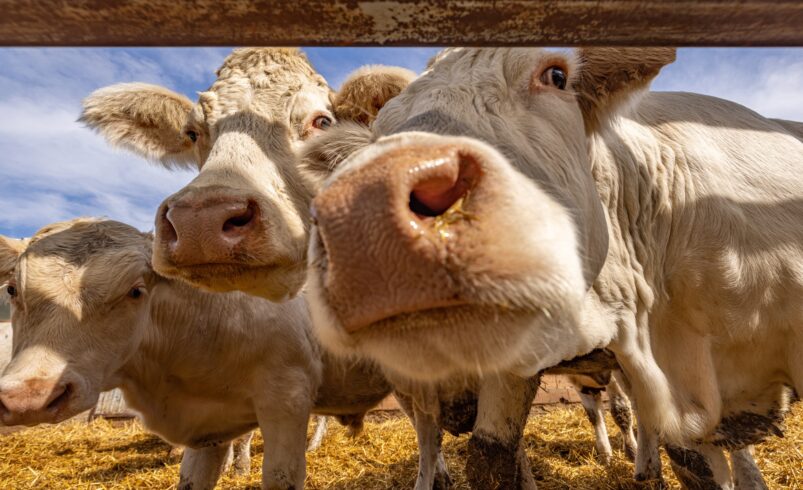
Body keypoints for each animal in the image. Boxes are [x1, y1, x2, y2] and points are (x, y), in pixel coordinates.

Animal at [0, 218, 393, 490]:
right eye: (13, 289)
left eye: (135, 291)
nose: (30, 397)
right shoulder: (210, 427)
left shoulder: (287, 398)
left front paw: (242, 468)